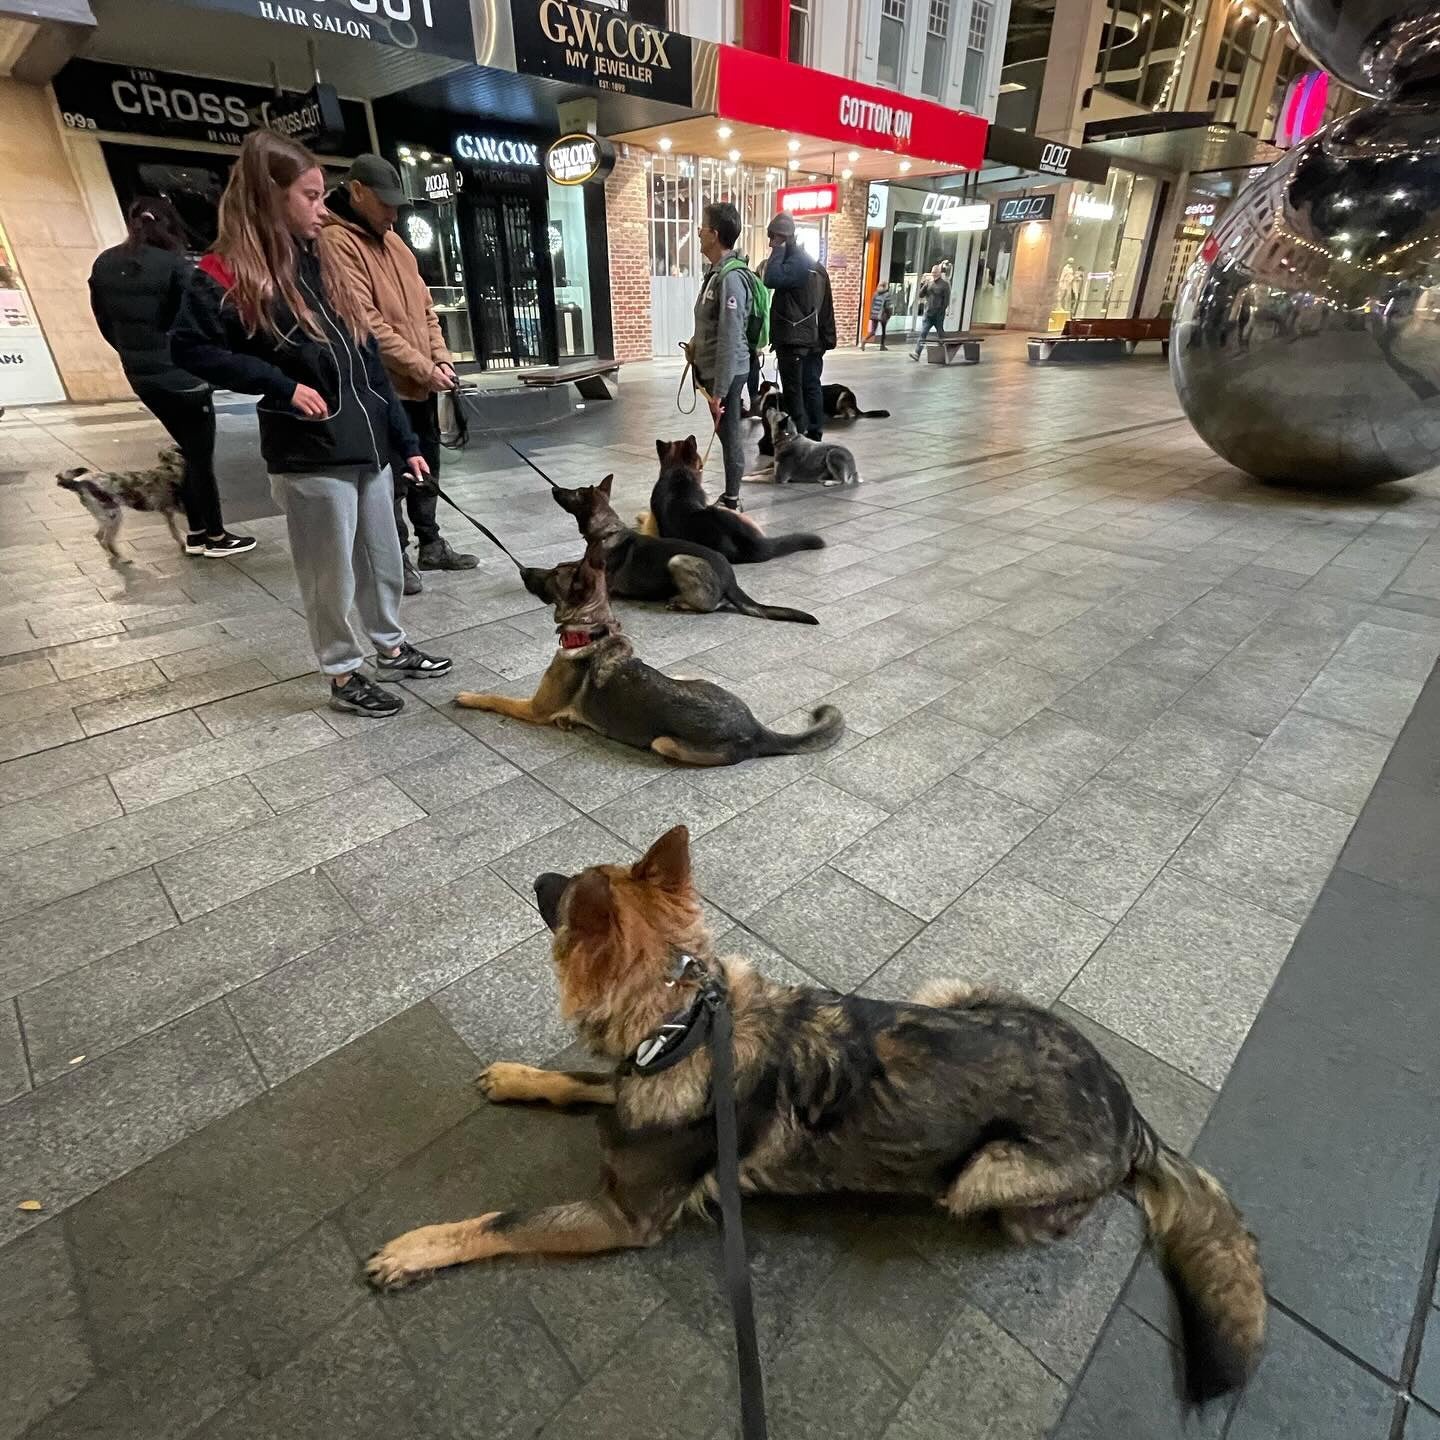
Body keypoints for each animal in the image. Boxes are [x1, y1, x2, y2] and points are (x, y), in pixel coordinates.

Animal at [55, 449, 187, 555]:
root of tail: (79, 482)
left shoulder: (168, 512)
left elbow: (175, 532)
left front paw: (182, 545)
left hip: (106, 518)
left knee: (99, 536)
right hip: (115, 516)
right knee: (106, 541)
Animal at [365, 829, 1267, 1399]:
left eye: (564, 894)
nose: (536, 880)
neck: (682, 1020)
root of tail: (1130, 1110)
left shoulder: (622, 1218)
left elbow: (502, 1220)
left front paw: (417, 1247)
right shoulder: (630, 1081)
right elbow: (584, 1081)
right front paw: (523, 1077)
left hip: (985, 1175)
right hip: (951, 988)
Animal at [460, 541, 840, 766]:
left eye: (553, 575)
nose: (524, 570)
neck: (590, 631)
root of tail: (756, 728)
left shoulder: (535, 709)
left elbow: (496, 698)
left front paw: (469, 696)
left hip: (664, 743)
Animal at [541, 475, 817, 627]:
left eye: (575, 493)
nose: (554, 489)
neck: (605, 531)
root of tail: (731, 580)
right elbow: (569, 564)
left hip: (678, 560)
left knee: (709, 606)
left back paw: (679, 602)